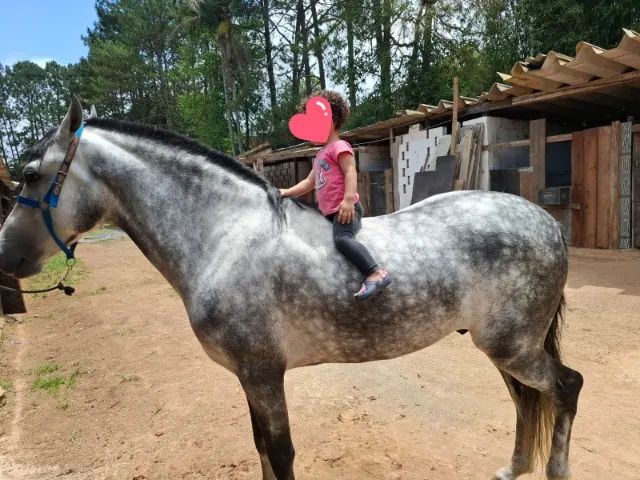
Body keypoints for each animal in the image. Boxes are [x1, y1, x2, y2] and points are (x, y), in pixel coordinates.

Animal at [0, 99, 583, 480]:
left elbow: (279, 453)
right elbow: (261, 448)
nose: (5, 255)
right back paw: (513, 467)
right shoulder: (250, 376)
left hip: (512, 347)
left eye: (29, 175)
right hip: (503, 346)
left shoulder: (263, 373)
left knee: (566, 388)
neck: (224, 236)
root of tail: (546, 223)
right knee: (528, 400)